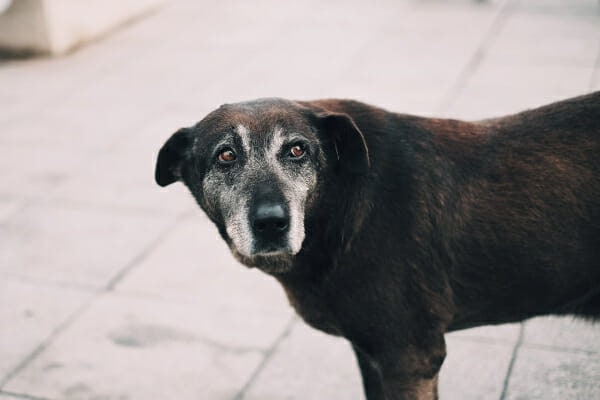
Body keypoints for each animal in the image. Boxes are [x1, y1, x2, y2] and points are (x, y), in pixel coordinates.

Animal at [156, 92, 600, 398]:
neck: (339, 208)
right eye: (226, 156)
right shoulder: (373, 355)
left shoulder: (410, 359)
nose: (271, 223)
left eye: (297, 149)